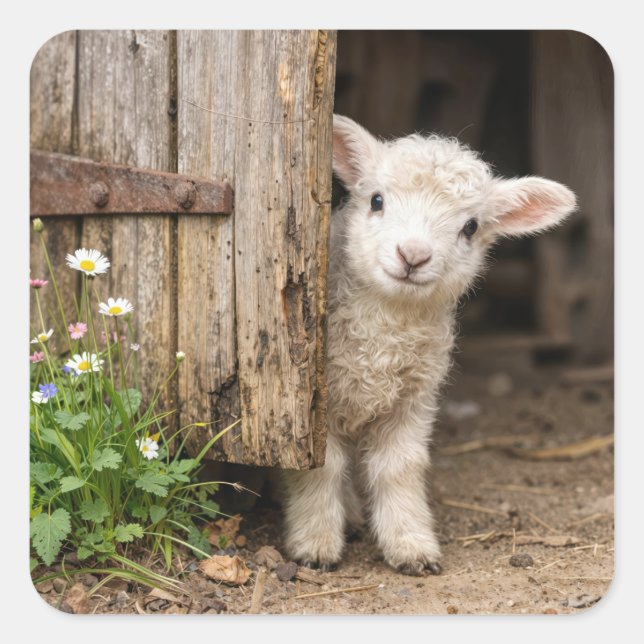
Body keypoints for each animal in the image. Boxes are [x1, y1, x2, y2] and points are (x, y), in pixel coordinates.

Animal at [283, 114, 577, 576]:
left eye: (471, 227)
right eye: (377, 200)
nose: (413, 255)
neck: (385, 332)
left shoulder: (414, 399)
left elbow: (401, 469)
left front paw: (411, 545)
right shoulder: (315, 406)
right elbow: (321, 469)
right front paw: (314, 543)